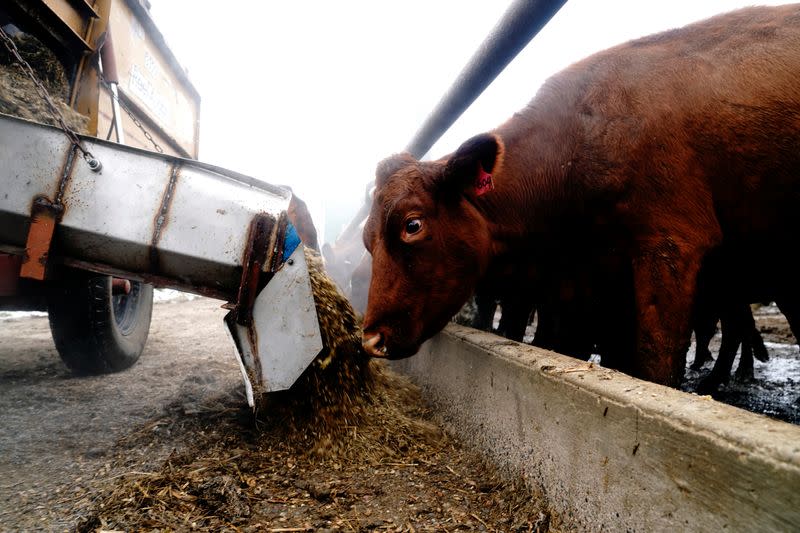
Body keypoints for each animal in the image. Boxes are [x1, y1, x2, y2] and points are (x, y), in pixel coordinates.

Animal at [360, 5, 800, 386]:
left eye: (412, 225)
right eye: (367, 241)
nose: (371, 340)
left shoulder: (672, 241)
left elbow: (654, 361)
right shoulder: (581, 285)